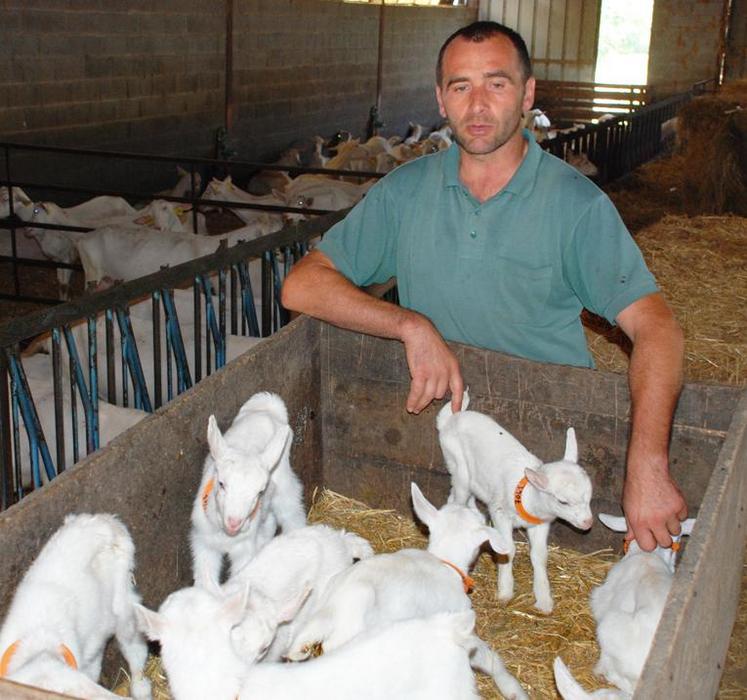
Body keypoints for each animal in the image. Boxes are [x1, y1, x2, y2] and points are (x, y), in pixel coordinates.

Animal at [190, 394, 306, 584]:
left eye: (259, 492)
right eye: (221, 483)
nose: (234, 522)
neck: (226, 535)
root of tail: (268, 408)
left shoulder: (245, 550)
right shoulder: (203, 544)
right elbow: (205, 581)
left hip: (285, 487)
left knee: (292, 516)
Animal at [436, 392, 592, 616]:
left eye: (589, 497)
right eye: (563, 501)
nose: (588, 523)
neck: (528, 497)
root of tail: (450, 419)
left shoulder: (540, 524)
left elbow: (539, 556)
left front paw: (544, 600)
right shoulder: (500, 513)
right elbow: (508, 549)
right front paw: (505, 592)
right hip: (457, 463)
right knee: (457, 496)